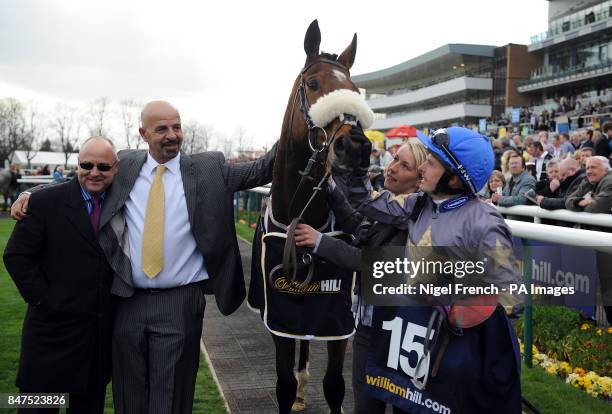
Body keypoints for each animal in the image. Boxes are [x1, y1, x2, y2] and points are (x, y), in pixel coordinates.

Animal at [247, 17, 372, 412]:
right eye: (314, 84)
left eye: (356, 90)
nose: (356, 147)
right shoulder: (280, 317)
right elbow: (284, 384)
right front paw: (294, 391)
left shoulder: (338, 318)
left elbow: (334, 385)